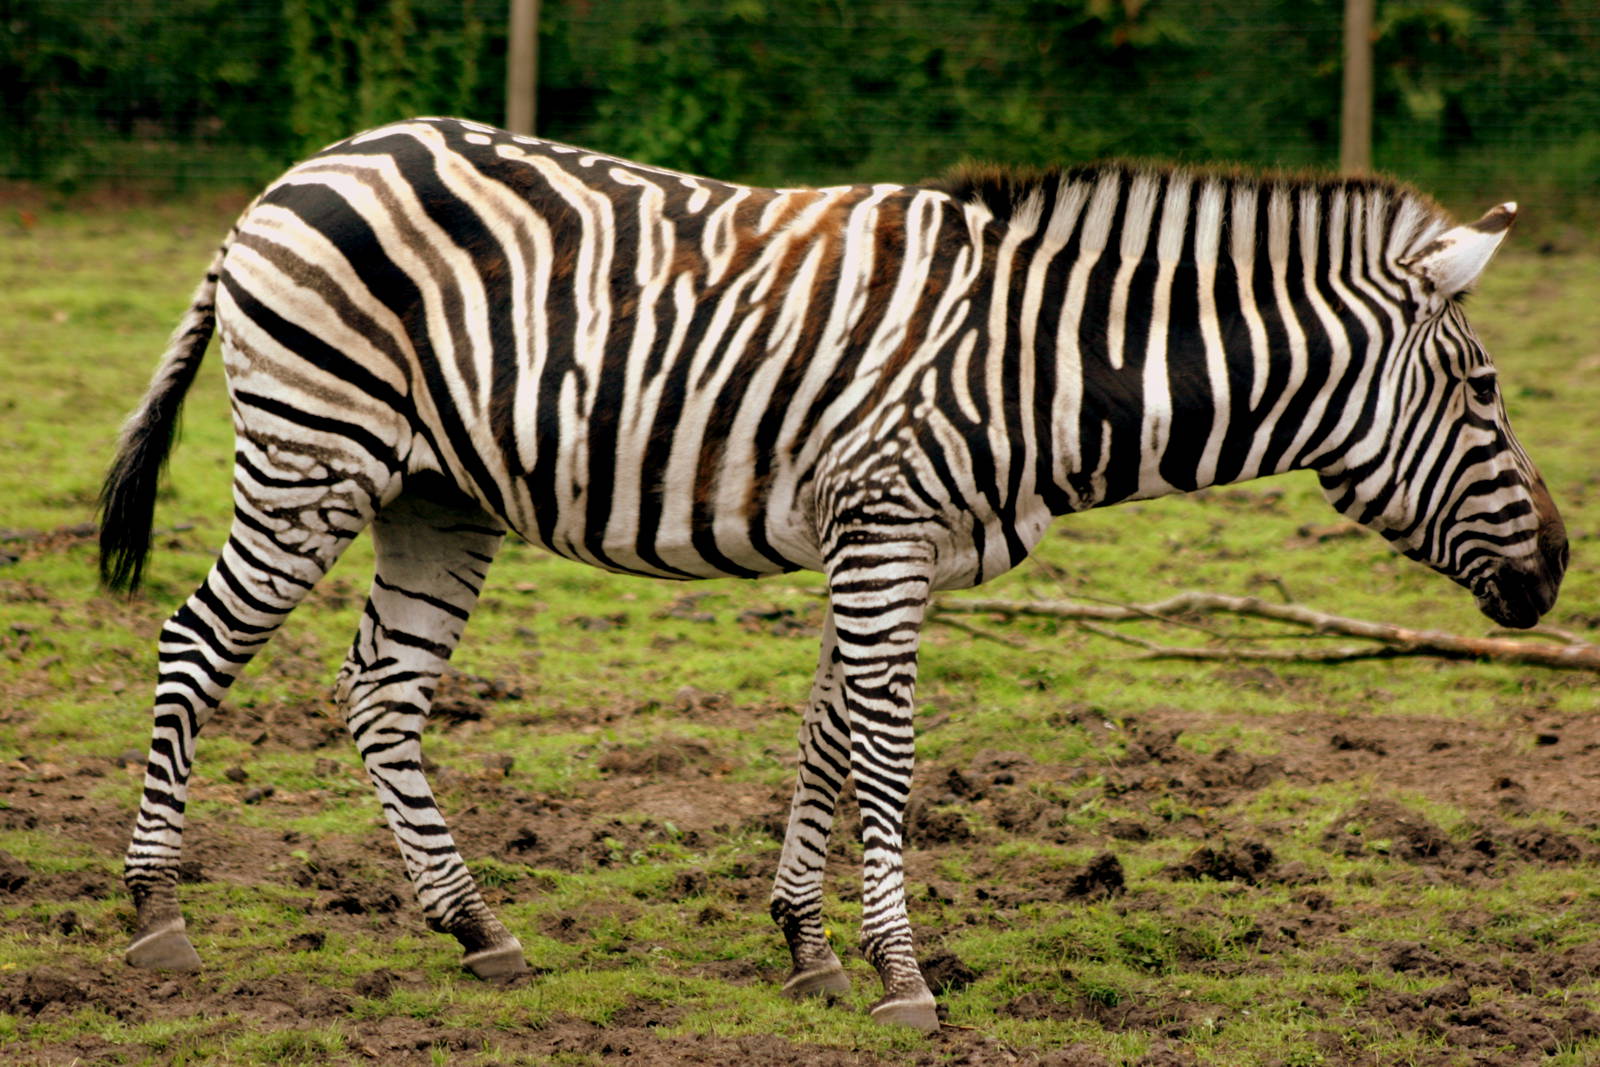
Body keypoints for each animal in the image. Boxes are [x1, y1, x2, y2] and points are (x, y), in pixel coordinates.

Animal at [99, 117, 1566, 1032]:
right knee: (192, 643)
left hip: (432, 494)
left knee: (379, 692)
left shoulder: (878, 545)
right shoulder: (881, 535)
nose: (1557, 567)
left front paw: (807, 946)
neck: (1032, 367)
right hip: (314, 453)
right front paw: (905, 974)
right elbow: (889, 753)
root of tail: (291, 178)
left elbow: (824, 737)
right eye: (1488, 391)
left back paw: (475, 925)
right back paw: (156, 913)